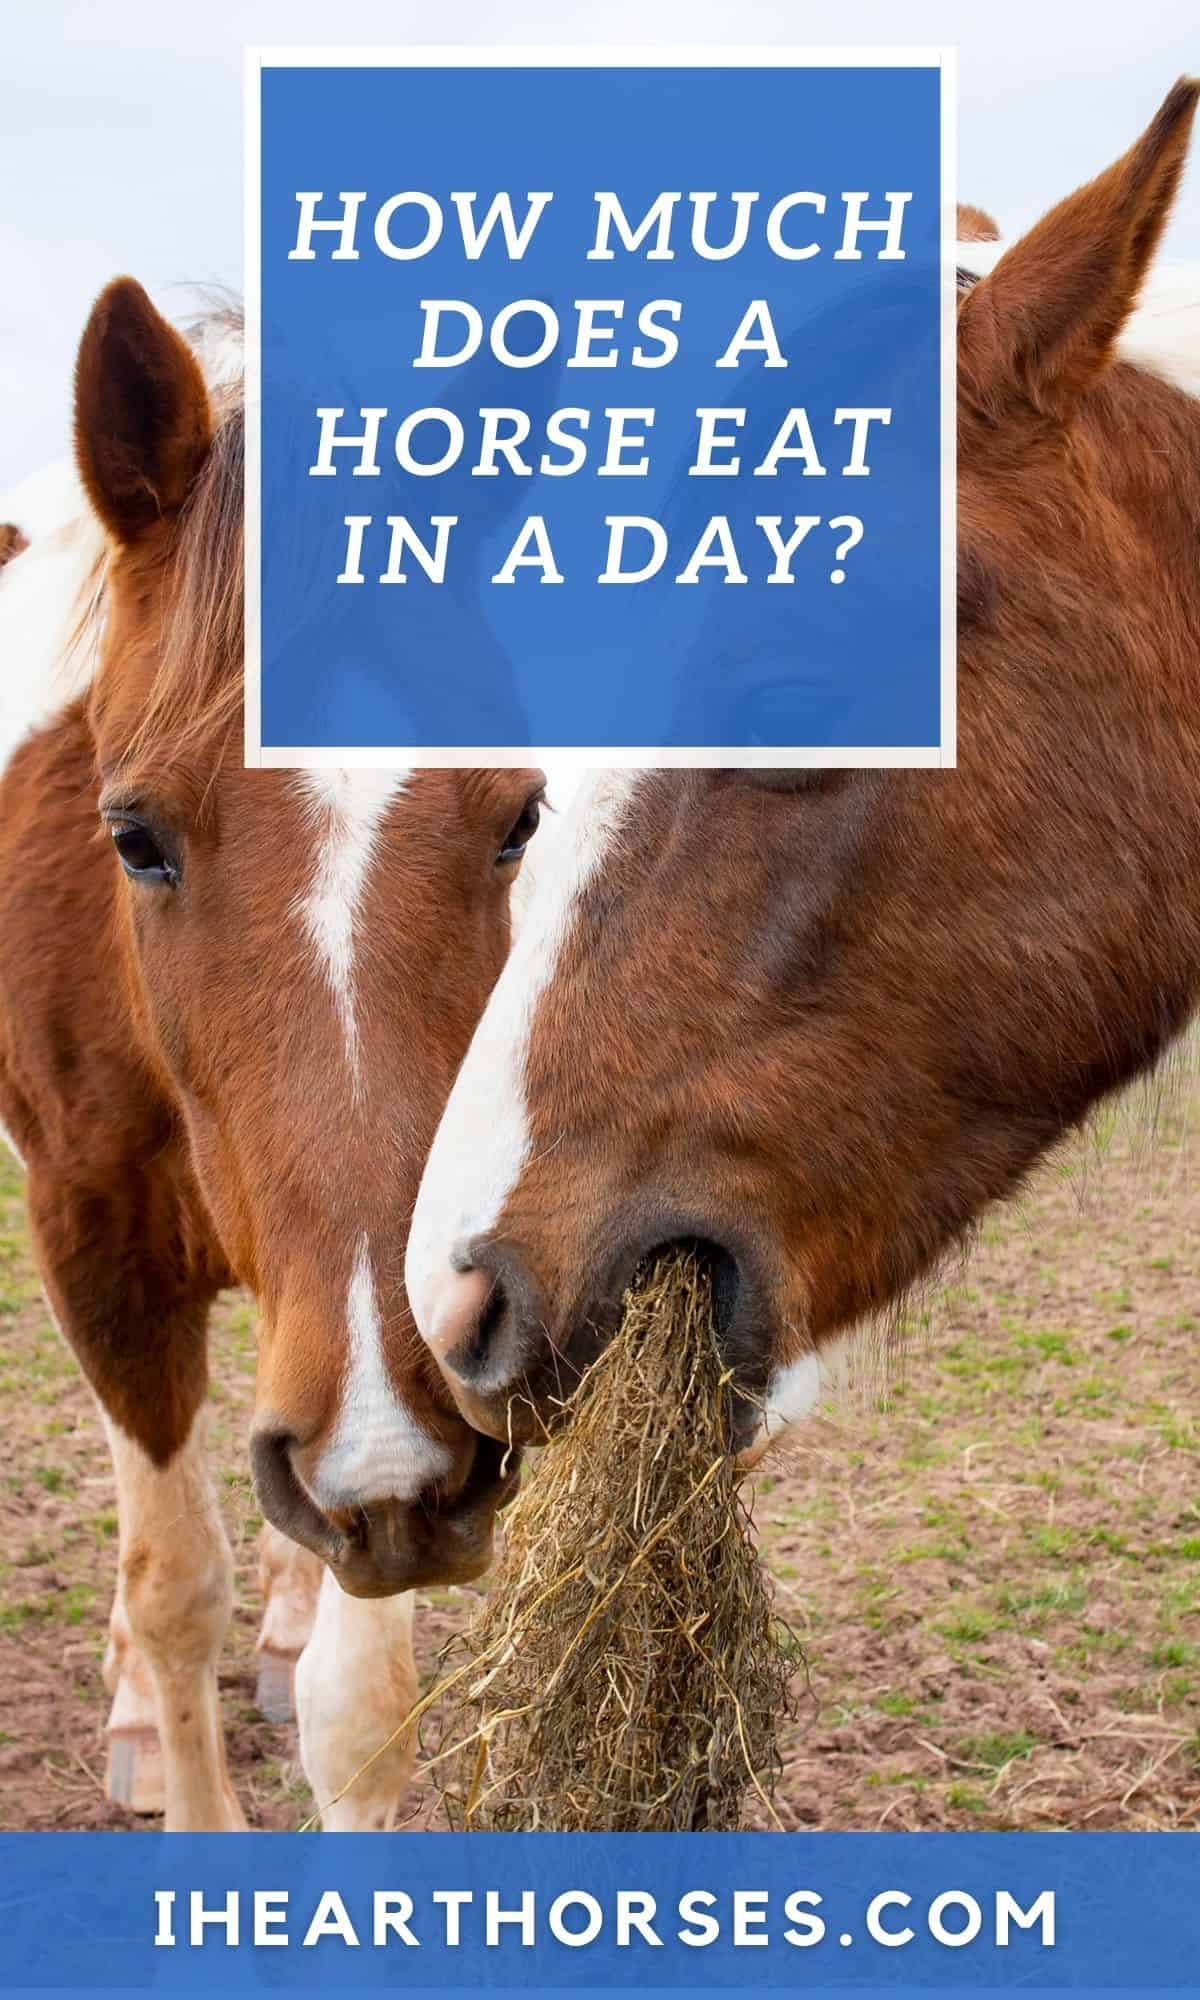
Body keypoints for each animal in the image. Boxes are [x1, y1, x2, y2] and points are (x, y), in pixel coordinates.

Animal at [0, 280, 547, 1828]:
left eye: (520, 818)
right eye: (134, 837)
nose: (389, 1451)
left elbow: (360, 1711)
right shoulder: (96, 1246)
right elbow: (174, 1585)